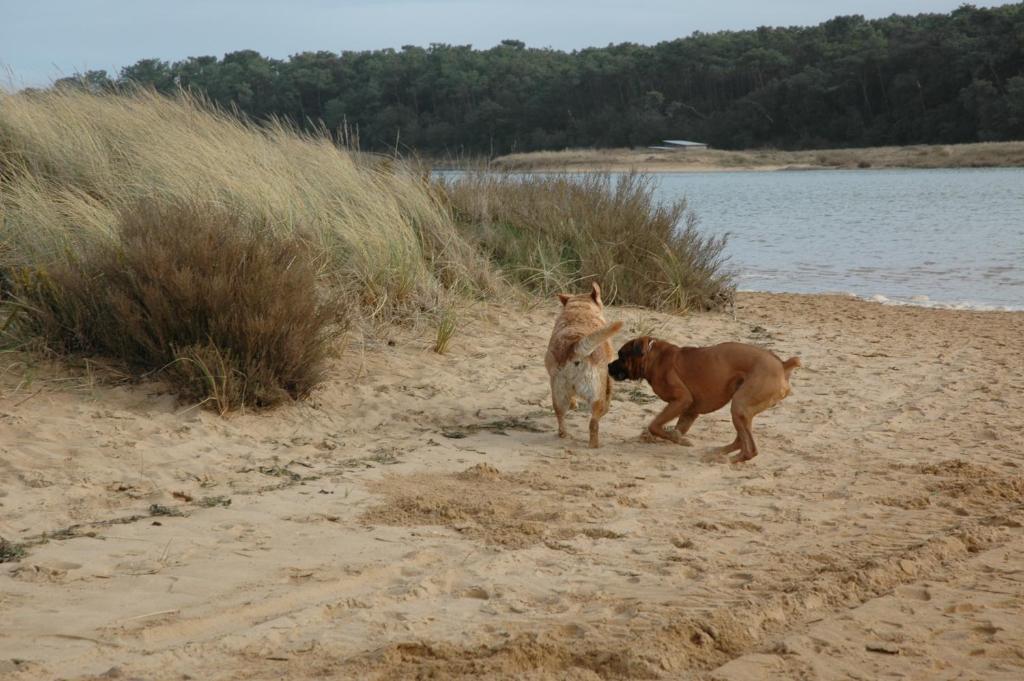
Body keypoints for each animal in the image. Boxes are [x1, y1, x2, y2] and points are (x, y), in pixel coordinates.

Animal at [544, 280, 622, 446]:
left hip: (558, 394)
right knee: (594, 423)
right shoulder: (608, 377)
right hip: (596, 395)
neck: (580, 310)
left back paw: (563, 434)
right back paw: (595, 445)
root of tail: (575, 347)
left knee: (560, 416)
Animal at [606, 335, 798, 462]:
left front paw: (675, 438)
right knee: (740, 440)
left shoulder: (681, 400)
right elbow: (674, 429)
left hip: (739, 405)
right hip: (744, 410)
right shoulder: (689, 411)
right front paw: (675, 437)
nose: (608, 365)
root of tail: (782, 365)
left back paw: (725, 460)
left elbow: (654, 425)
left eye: (621, 356)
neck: (654, 357)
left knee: (750, 449)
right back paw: (717, 452)